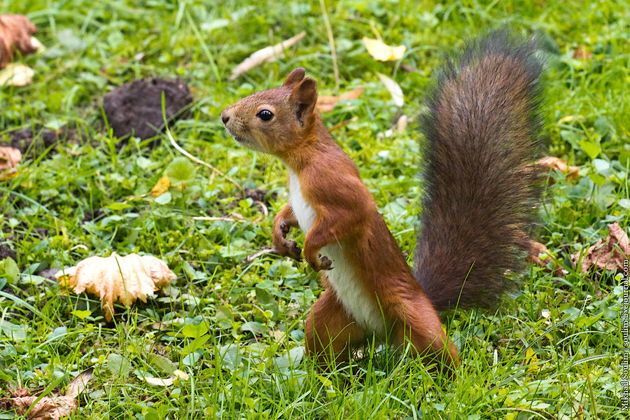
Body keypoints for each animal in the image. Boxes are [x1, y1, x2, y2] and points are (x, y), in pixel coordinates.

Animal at [221, 31, 544, 370]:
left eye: (265, 114)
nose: (225, 117)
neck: (301, 160)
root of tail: (384, 332)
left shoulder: (333, 182)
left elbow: (351, 215)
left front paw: (310, 250)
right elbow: (289, 212)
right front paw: (280, 235)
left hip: (413, 315)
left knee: (440, 350)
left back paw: (453, 376)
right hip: (328, 317)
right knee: (324, 343)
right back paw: (324, 375)